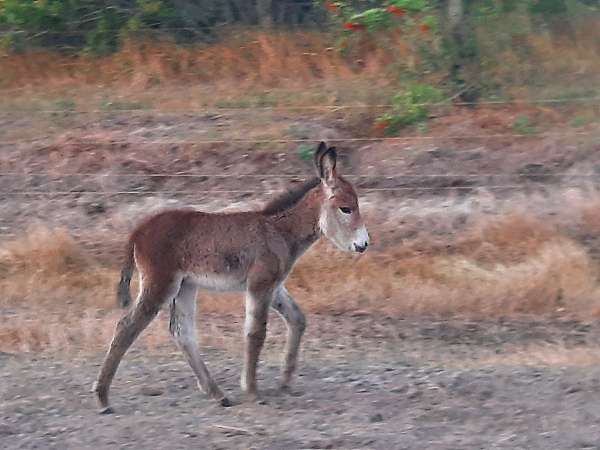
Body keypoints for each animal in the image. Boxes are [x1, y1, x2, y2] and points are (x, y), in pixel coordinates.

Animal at [91, 142, 368, 412]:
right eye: (346, 209)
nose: (364, 245)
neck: (279, 231)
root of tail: (139, 229)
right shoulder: (259, 285)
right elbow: (256, 333)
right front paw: (252, 391)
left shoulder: (274, 286)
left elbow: (297, 319)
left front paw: (285, 382)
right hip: (161, 284)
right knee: (126, 327)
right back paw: (103, 398)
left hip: (185, 286)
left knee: (182, 332)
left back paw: (217, 394)